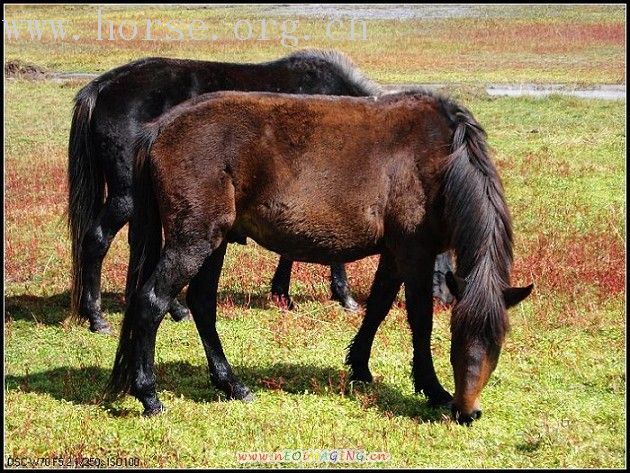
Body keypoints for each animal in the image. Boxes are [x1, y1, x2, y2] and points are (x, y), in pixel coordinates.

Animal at [66, 49, 454, 334]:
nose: (448, 299)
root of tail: (102, 87)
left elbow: (294, 248)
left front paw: (282, 293)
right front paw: (343, 297)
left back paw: (173, 309)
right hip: (127, 196)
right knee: (97, 239)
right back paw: (97, 317)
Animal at [107, 88, 532, 424]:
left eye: (497, 341)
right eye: (459, 337)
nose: (467, 412)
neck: (442, 156)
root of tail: (159, 128)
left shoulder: (396, 253)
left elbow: (378, 307)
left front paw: (360, 367)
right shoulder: (415, 253)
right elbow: (420, 321)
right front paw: (433, 389)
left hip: (215, 241)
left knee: (201, 303)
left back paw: (231, 384)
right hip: (192, 240)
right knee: (151, 303)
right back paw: (149, 396)